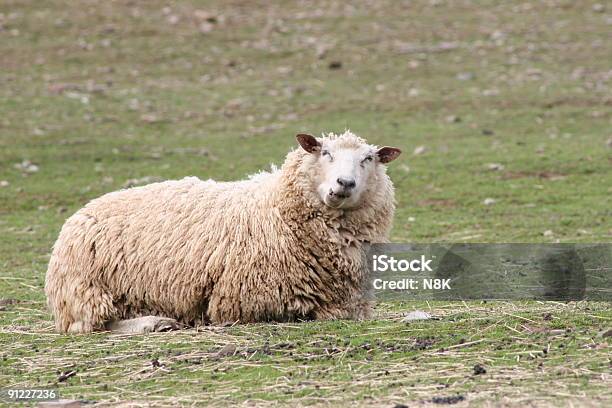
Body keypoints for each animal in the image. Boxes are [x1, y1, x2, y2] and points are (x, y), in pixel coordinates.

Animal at [44, 131, 402, 332]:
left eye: (368, 159)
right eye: (325, 152)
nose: (344, 183)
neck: (275, 208)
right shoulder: (243, 301)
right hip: (87, 290)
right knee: (92, 326)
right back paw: (154, 323)